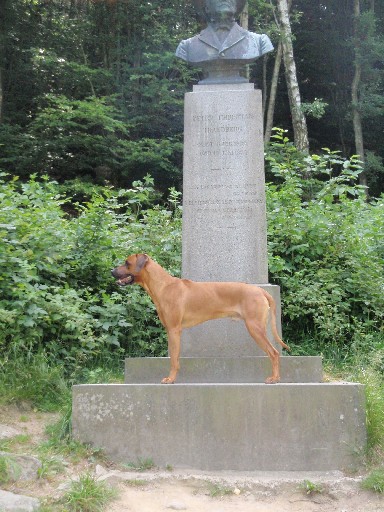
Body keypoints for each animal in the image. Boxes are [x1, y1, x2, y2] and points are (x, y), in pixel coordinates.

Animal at [112, 253, 290, 384]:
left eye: (127, 263)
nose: (112, 271)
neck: (163, 286)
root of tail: (261, 290)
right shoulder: (172, 331)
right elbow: (175, 357)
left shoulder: (174, 330)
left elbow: (173, 359)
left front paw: (170, 379)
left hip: (255, 327)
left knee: (274, 353)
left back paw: (274, 378)